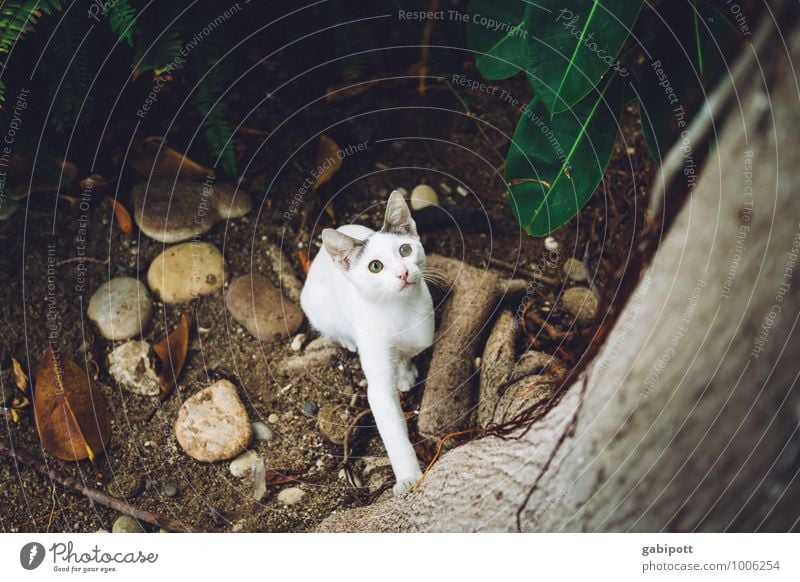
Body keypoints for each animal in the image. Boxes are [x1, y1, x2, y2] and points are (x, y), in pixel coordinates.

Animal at [302, 192, 438, 498]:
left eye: (404, 250)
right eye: (375, 266)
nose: (402, 273)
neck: (400, 311)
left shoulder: (423, 332)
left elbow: (408, 352)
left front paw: (404, 371)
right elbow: (391, 426)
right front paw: (408, 477)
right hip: (318, 307)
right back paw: (347, 340)